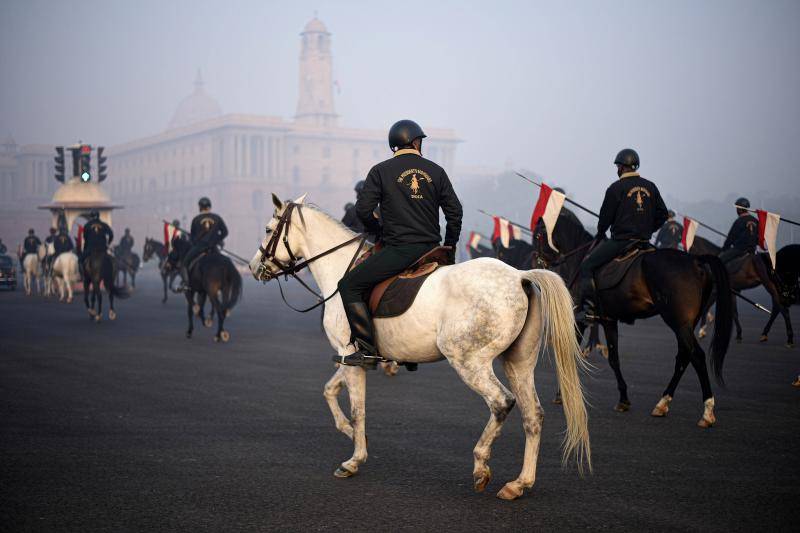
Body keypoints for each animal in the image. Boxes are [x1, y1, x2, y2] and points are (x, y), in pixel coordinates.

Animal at [252, 195, 592, 498]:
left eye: (268, 229)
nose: (257, 268)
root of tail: (519, 275)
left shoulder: (350, 355)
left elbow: (358, 408)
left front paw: (354, 458)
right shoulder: (354, 358)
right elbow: (330, 391)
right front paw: (348, 430)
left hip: (469, 362)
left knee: (501, 402)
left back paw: (481, 465)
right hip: (518, 363)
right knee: (533, 415)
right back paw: (519, 484)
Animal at [536, 214, 736, 426]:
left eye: (539, 234)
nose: (539, 263)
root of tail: (696, 261)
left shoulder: (581, 319)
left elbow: (574, 355)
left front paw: (561, 395)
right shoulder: (609, 320)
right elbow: (614, 358)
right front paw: (623, 399)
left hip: (678, 322)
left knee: (696, 355)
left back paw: (707, 411)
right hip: (686, 324)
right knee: (683, 356)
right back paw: (662, 403)